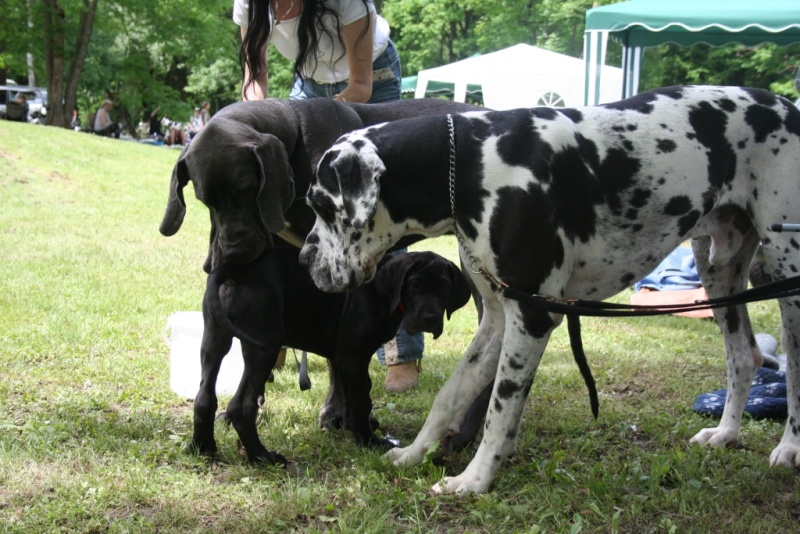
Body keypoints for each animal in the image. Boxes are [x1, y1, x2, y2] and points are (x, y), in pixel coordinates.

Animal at [195, 249, 472, 466]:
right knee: (242, 406)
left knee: (204, 397)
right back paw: (262, 458)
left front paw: (339, 423)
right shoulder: (352, 354)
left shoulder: (341, 356)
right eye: (414, 284)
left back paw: (202, 448)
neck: (385, 291)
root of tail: (235, 271)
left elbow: (343, 393)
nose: (430, 318)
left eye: (445, 287)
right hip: (264, 345)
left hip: (214, 338)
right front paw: (368, 440)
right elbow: (361, 399)